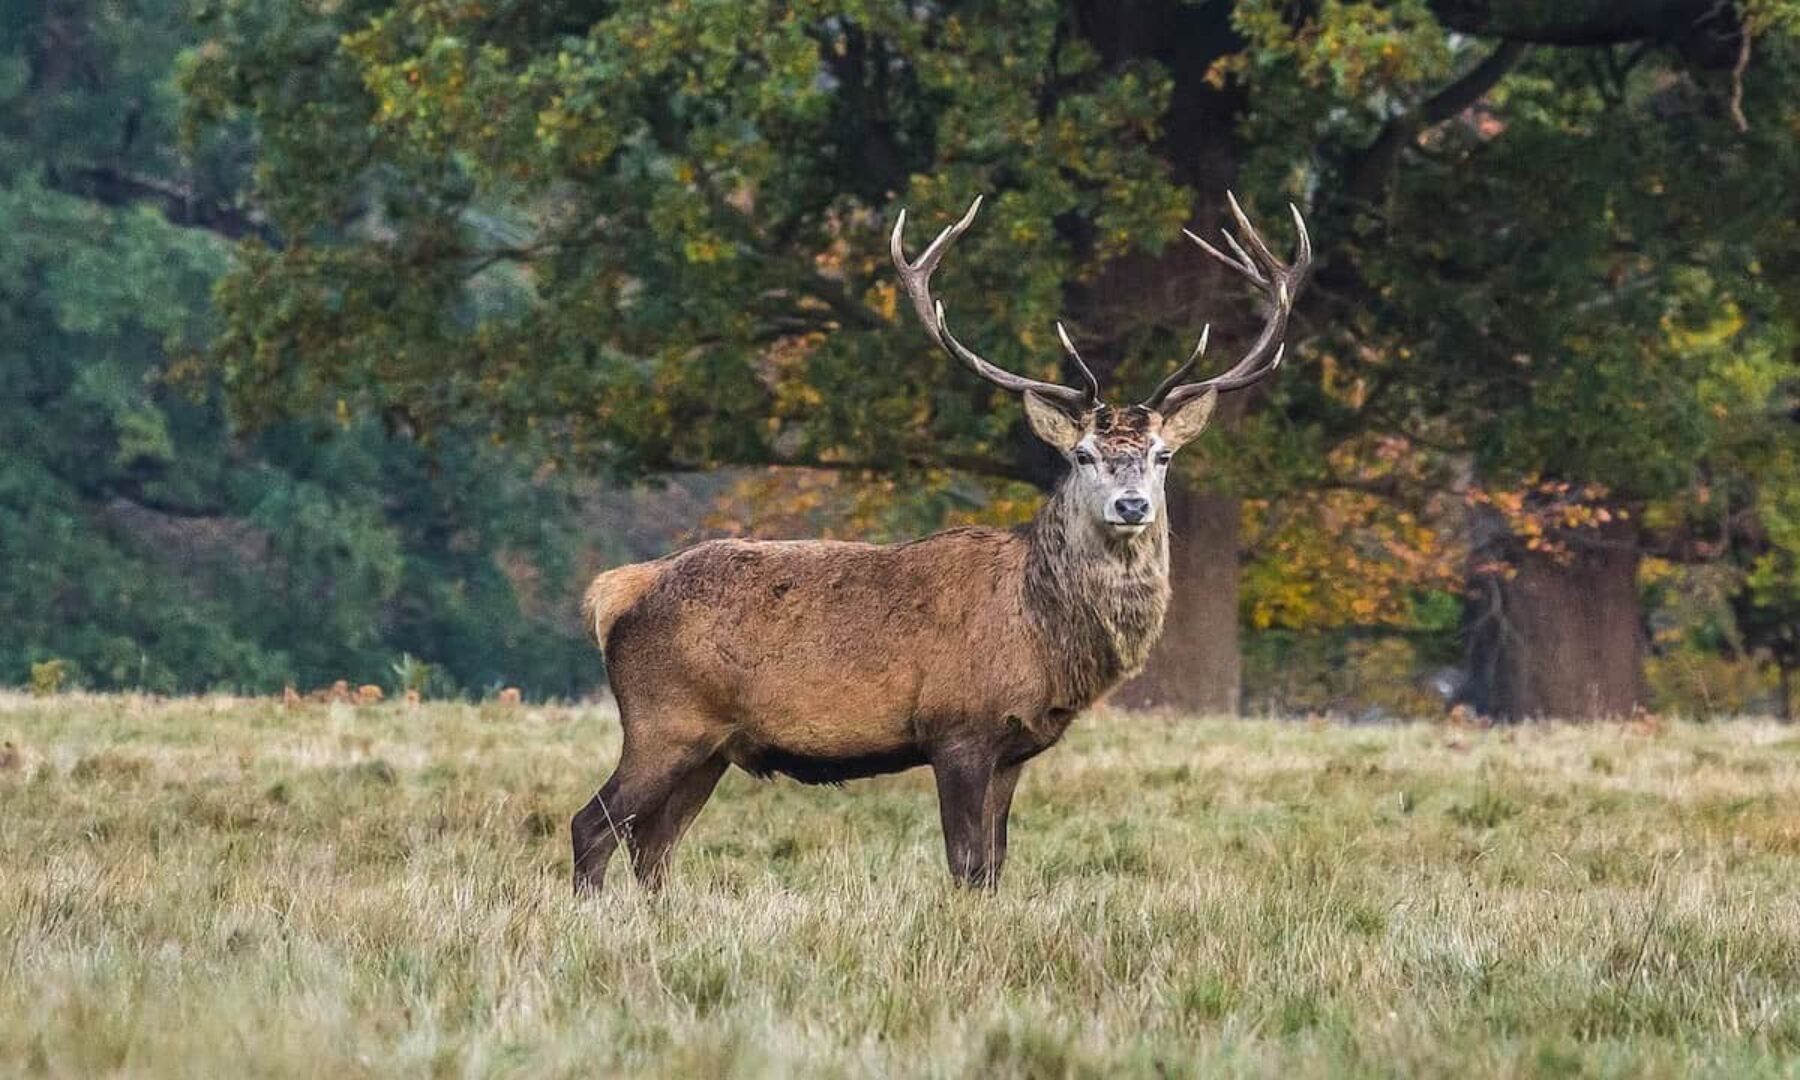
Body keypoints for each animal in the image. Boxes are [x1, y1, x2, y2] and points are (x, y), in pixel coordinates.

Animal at [572, 194, 1310, 892]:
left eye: (1162, 455)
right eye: (1083, 456)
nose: (1132, 506)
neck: (1041, 634)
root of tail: (614, 592)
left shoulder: (1014, 747)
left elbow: (995, 866)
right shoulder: (957, 729)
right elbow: (964, 862)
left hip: (714, 746)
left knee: (652, 845)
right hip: (663, 721)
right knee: (593, 825)